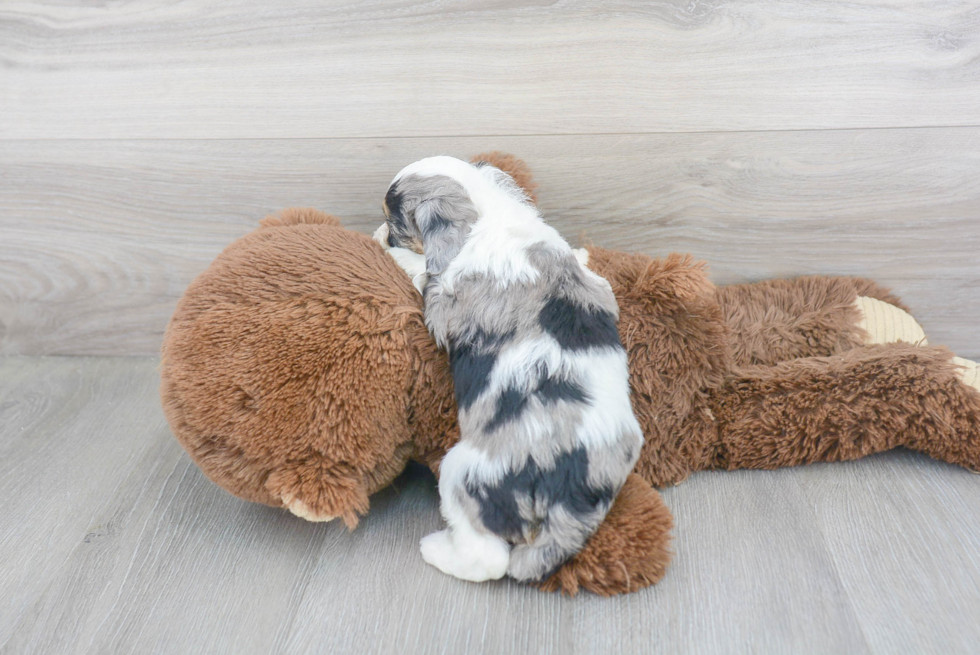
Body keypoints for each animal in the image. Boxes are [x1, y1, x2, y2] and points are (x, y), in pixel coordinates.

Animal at [378, 156, 644, 580]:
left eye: (395, 224)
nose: (381, 231)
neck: (489, 212)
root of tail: (566, 495)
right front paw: (583, 253)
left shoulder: (442, 304)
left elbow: (422, 271)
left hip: (462, 472)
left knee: (489, 559)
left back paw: (436, 549)